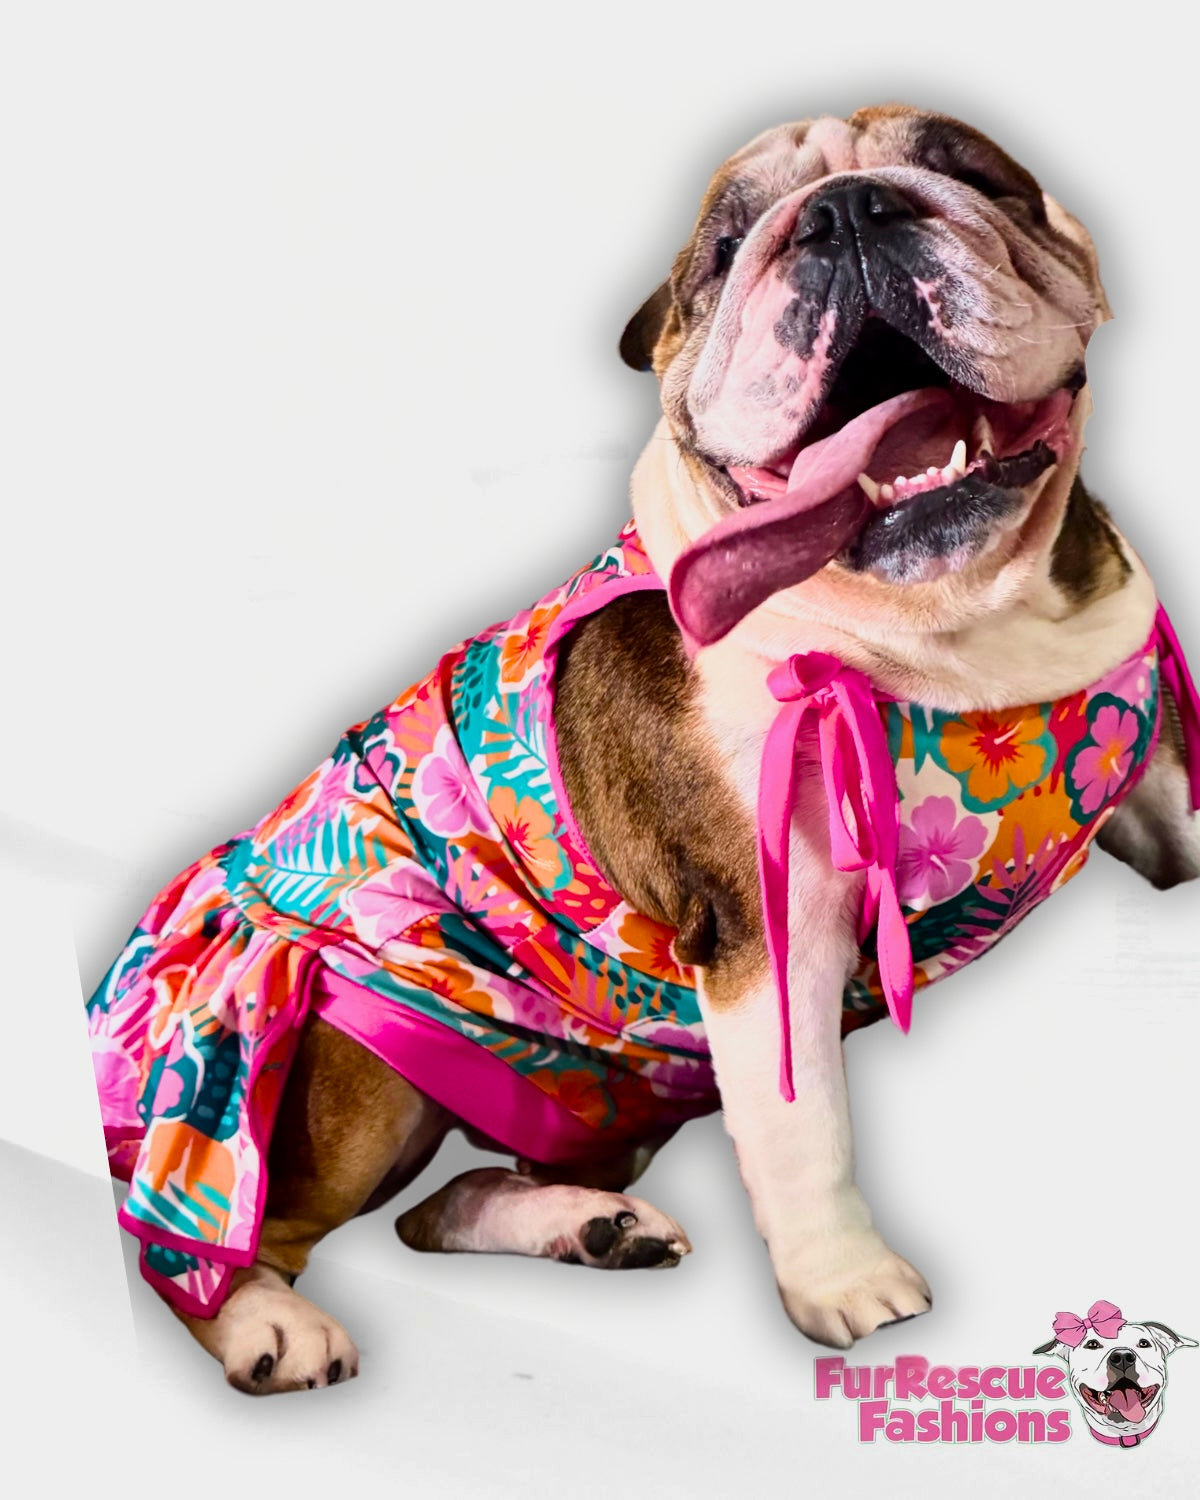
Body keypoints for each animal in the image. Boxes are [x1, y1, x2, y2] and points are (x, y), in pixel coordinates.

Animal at [87, 103, 1200, 1394]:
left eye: (976, 175)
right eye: (721, 253)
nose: (847, 210)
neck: (947, 623)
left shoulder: (1168, 805)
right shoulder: (769, 930)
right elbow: (804, 1126)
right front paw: (847, 1285)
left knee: (435, 1212)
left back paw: (589, 1226)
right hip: (333, 1060)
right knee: (215, 1223)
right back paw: (265, 1322)